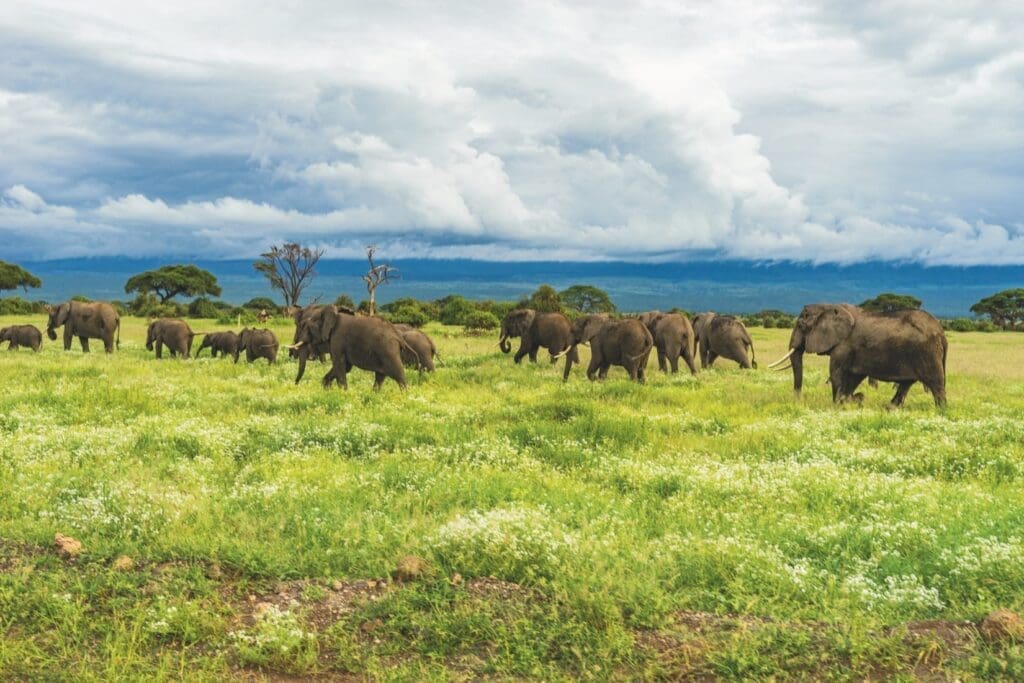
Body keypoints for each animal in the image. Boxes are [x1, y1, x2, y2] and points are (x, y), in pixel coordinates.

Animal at [765, 303, 946, 409]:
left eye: (802, 325)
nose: (798, 401)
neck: (829, 306)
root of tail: (941, 331)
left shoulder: (844, 346)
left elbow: (837, 374)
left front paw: (840, 405)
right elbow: (854, 376)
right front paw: (855, 399)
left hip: (927, 351)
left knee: (936, 383)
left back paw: (941, 410)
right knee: (907, 383)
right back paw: (890, 408)